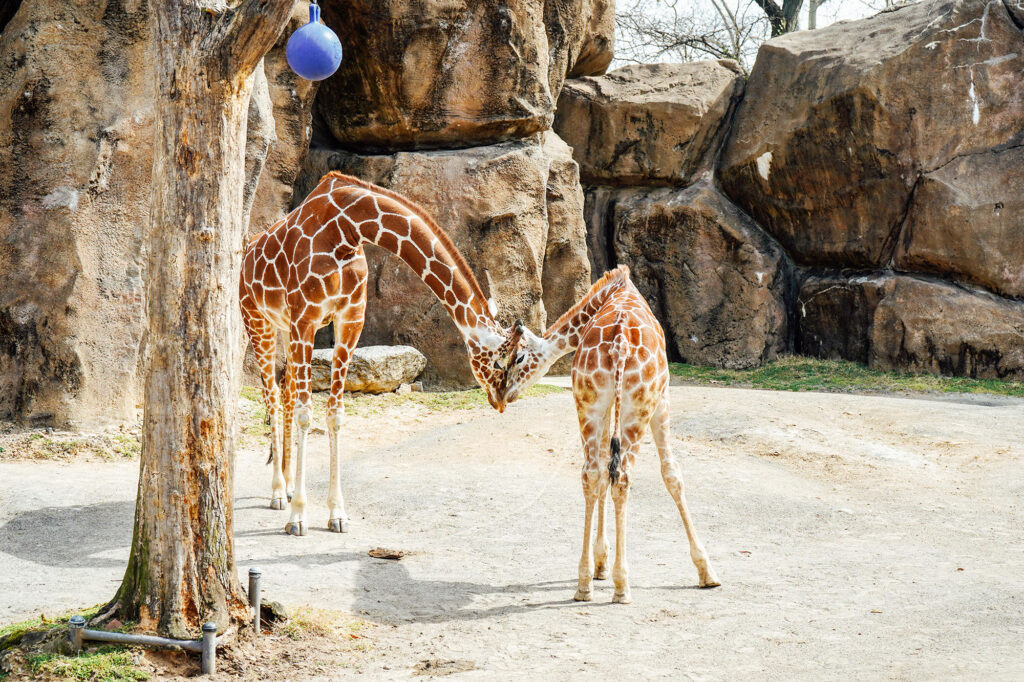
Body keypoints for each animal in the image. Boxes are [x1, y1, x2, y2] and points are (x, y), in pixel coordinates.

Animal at [240, 171, 521, 536]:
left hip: (284, 326)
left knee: (285, 392)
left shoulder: (349, 320)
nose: (501, 401)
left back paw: (287, 486)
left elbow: (335, 414)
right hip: (256, 319)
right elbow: (306, 413)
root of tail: (248, 249)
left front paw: (337, 513)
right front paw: (298, 517)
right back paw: (277, 492)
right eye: (500, 361)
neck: (347, 227)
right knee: (273, 396)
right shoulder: (306, 318)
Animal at [501, 266, 720, 602]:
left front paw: (599, 565)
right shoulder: (663, 399)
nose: (504, 394)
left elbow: (604, 473)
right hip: (639, 407)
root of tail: (619, 344)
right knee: (623, 477)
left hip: (587, 403)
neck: (614, 289)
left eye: (519, 358)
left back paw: (583, 584)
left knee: (592, 473)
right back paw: (621, 584)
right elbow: (672, 475)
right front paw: (706, 570)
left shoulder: (604, 408)